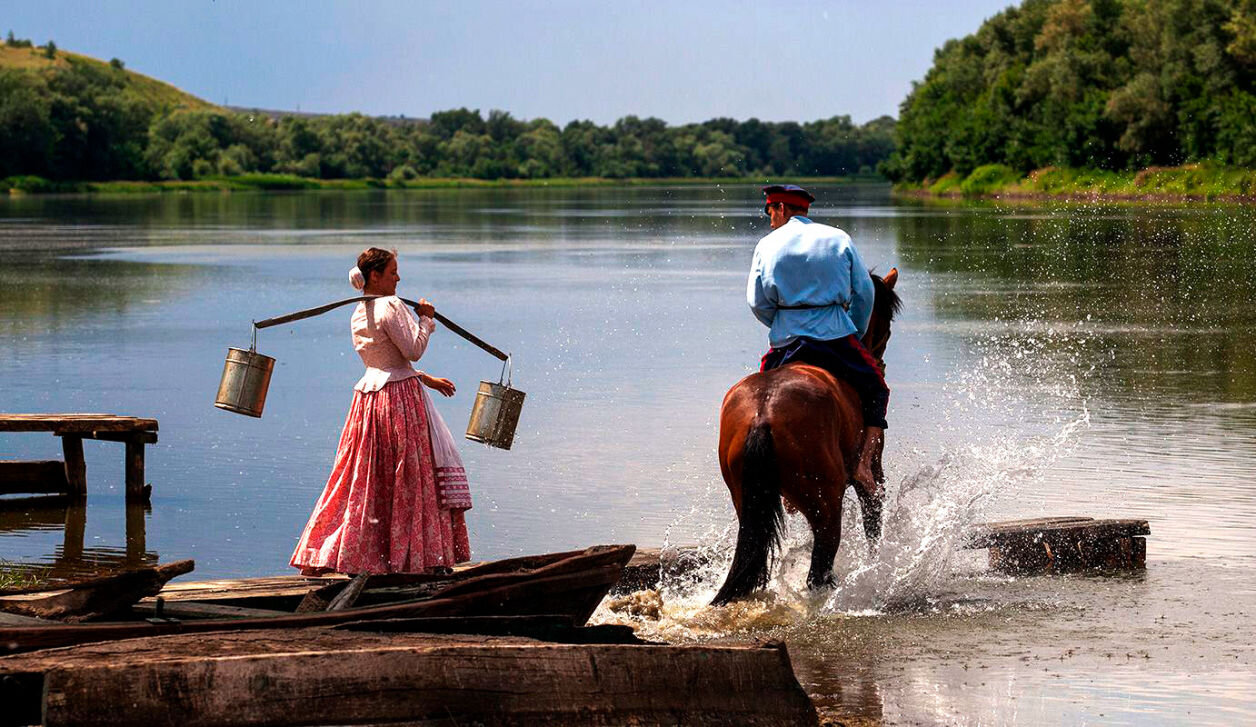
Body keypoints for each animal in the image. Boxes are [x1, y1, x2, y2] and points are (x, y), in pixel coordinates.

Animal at [713, 269, 899, 605]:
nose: (879, 363)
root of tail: (763, 414)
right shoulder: (872, 472)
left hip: (746, 499)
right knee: (819, 572)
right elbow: (873, 522)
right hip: (826, 505)